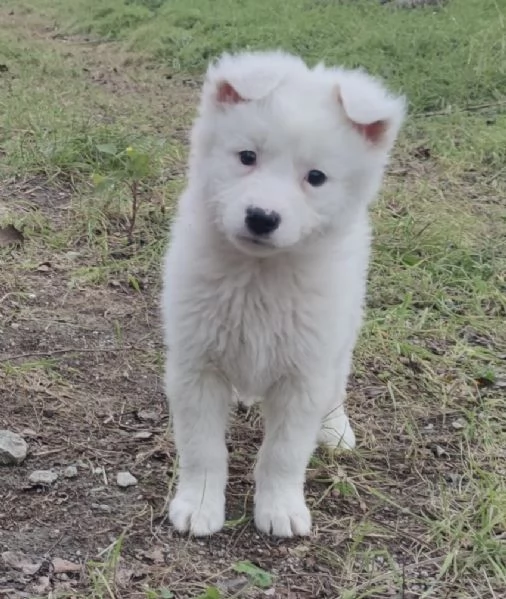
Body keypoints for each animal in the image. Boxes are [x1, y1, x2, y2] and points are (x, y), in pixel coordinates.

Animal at [160, 51, 406, 540]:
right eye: (247, 157)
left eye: (316, 177)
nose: (262, 217)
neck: (259, 275)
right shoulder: (196, 366)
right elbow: (202, 448)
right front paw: (199, 505)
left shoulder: (303, 375)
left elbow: (284, 453)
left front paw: (280, 508)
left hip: (343, 332)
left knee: (337, 385)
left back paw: (335, 428)